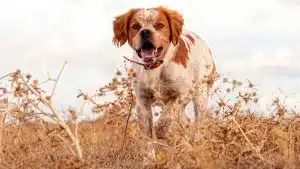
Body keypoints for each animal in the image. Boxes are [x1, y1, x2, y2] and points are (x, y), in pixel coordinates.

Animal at [112, 6, 216, 139]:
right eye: (135, 26)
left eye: (160, 25)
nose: (145, 32)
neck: (154, 68)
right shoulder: (142, 100)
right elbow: (147, 135)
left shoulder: (180, 93)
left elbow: (167, 114)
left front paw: (161, 130)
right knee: (186, 121)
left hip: (200, 97)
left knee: (197, 125)